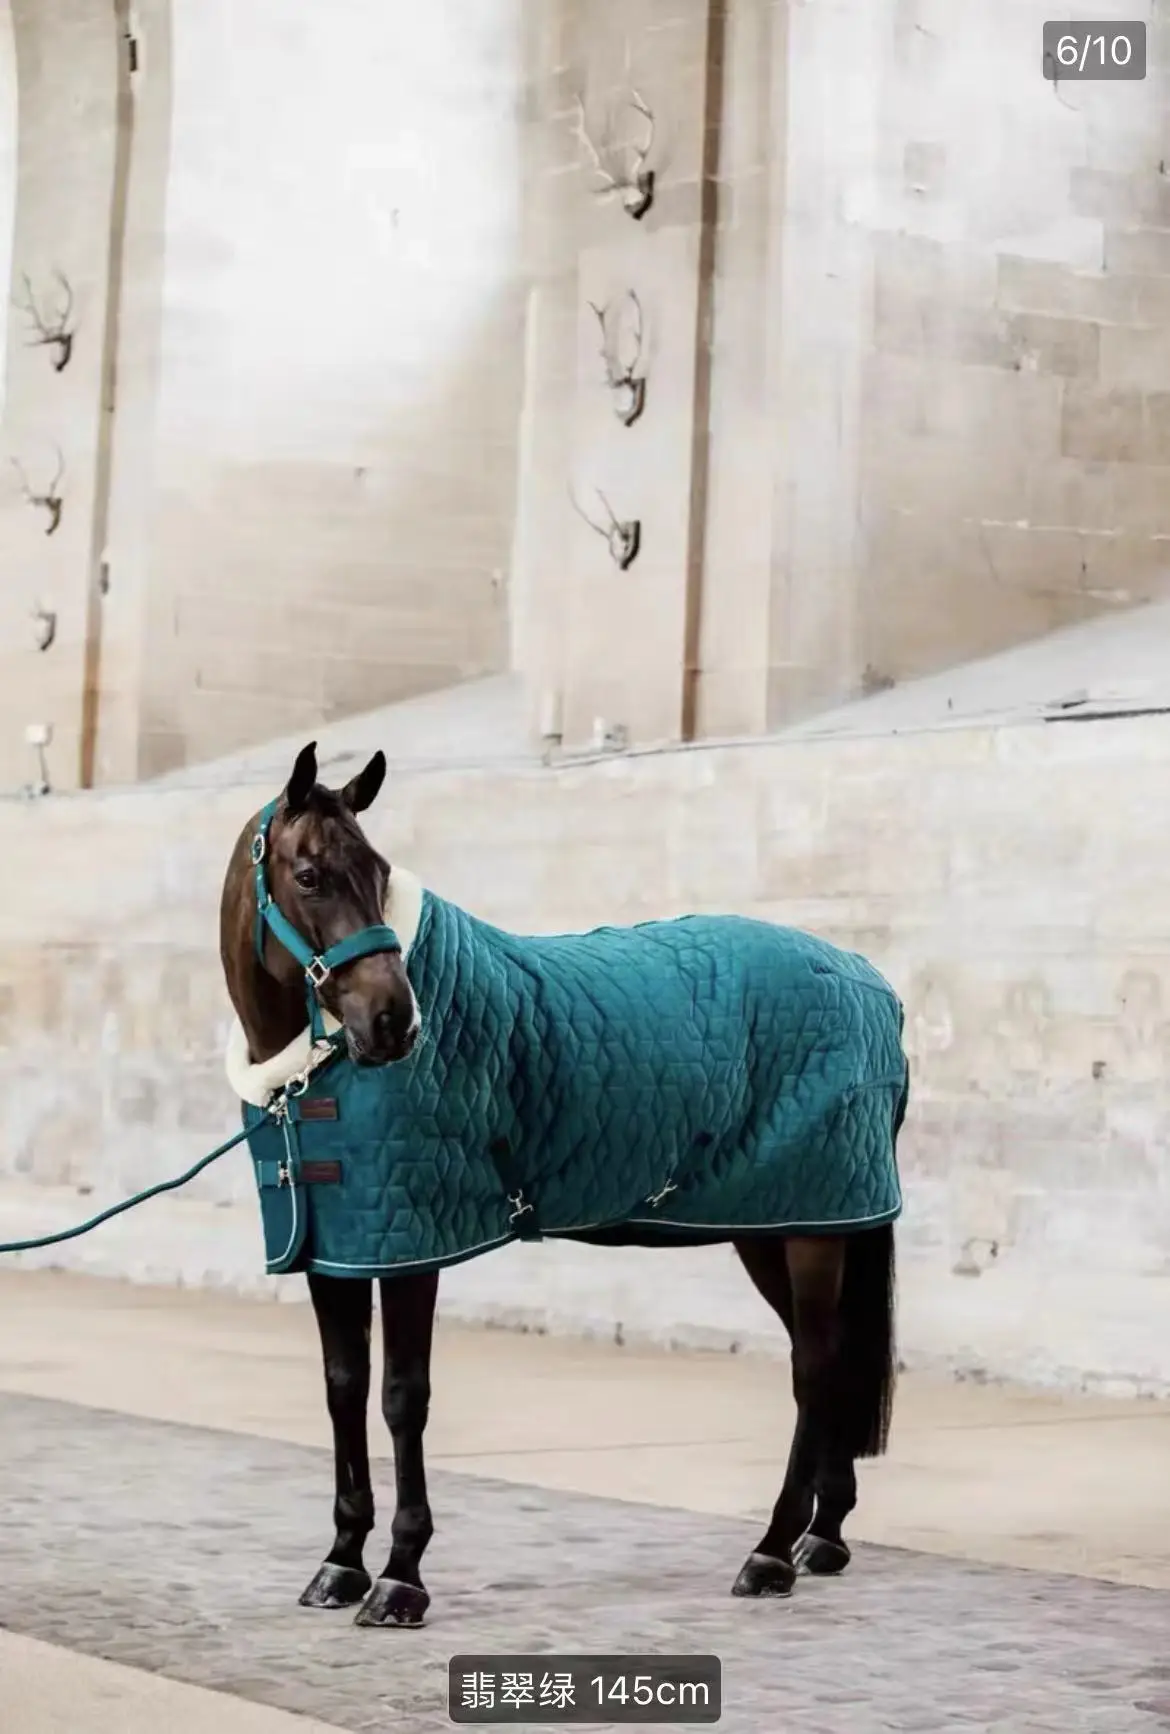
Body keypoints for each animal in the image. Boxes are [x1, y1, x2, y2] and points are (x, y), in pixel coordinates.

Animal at [223, 742, 908, 1623]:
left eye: (378, 872)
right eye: (309, 875)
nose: (396, 1023)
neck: (305, 1078)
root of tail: (870, 982)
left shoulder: (411, 1244)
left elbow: (403, 1397)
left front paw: (401, 1576)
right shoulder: (338, 1249)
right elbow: (345, 1389)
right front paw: (341, 1562)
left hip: (810, 1224)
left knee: (815, 1366)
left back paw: (770, 1553)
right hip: (780, 1224)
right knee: (822, 1360)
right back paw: (821, 1536)